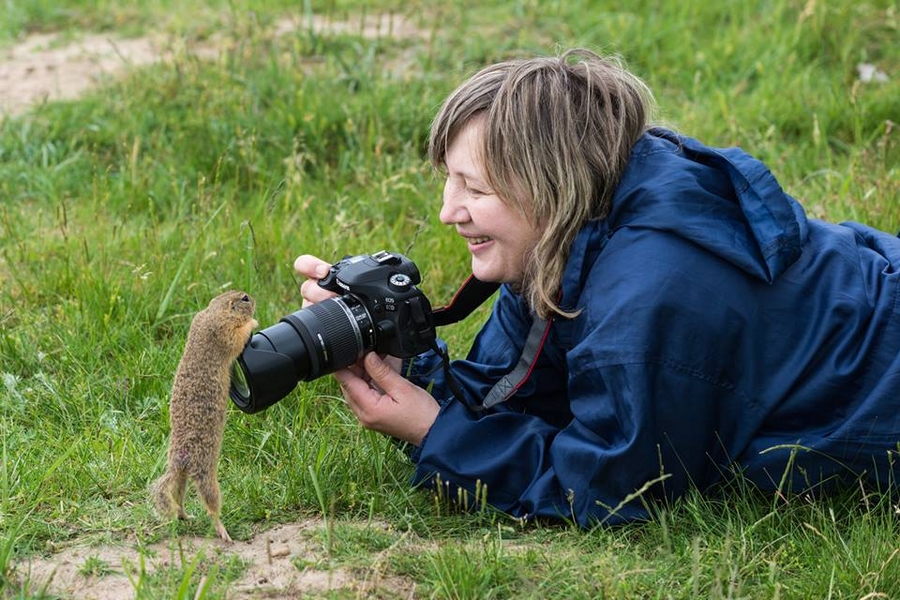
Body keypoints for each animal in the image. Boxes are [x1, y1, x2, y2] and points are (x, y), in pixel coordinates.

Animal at [151, 290, 256, 544]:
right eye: (245, 298)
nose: (255, 299)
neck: (214, 312)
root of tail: (179, 461)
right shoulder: (225, 331)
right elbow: (238, 338)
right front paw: (253, 323)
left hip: (181, 479)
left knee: (177, 497)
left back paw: (184, 515)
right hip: (207, 476)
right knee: (211, 506)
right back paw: (222, 531)